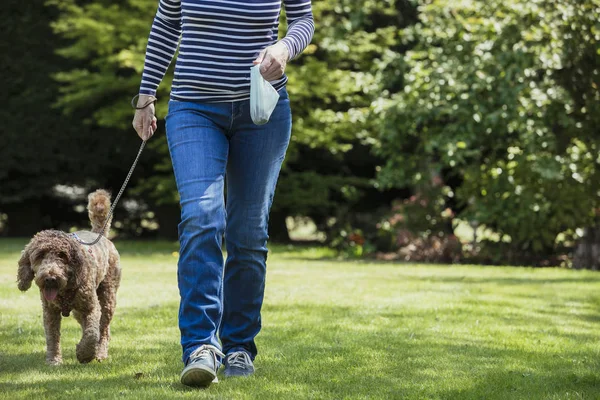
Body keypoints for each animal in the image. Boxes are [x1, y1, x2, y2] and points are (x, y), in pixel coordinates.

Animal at [16, 190, 120, 366]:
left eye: (62, 256)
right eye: (39, 255)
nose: (50, 278)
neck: (64, 290)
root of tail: (99, 234)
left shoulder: (91, 307)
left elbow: (92, 334)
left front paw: (84, 354)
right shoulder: (50, 311)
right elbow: (52, 337)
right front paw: (53, 360)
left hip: (108, 297)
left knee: (103, 328)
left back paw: (100, 352)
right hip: (78, 310)